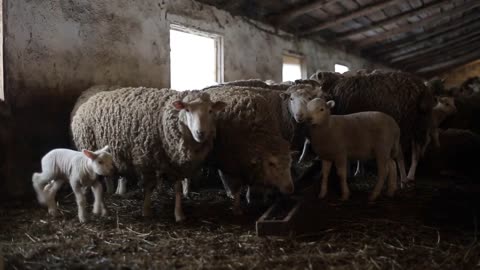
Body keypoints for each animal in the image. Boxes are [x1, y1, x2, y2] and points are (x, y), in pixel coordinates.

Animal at [70, 86, 228, 221]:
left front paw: (179, 214)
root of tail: (89, 100)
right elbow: (150, 186)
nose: (200, 133)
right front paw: (146, 211)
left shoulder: (174, 162)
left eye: (210, 111)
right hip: (89, 147)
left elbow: (177, 188)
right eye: (187, 110)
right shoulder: (145, 159)